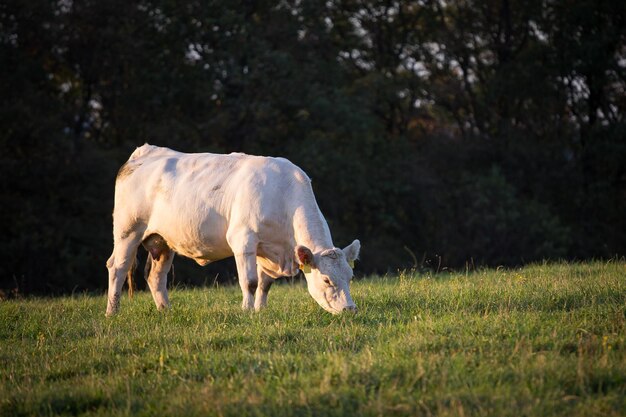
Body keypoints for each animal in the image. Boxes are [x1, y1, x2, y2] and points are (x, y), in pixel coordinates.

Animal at [106, 143, 360, 316]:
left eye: (350, 276)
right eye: (326, 280)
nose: (350, 309)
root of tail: (144, 152)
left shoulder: (267, 248)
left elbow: (265, 283)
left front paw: (260, 310)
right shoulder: (243, 240)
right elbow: (250, 282)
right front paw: (247, 311)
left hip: (163, 240)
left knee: (156, 275)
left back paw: (165, 310)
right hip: (127, 230)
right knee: (118, 267)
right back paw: (112, 311)